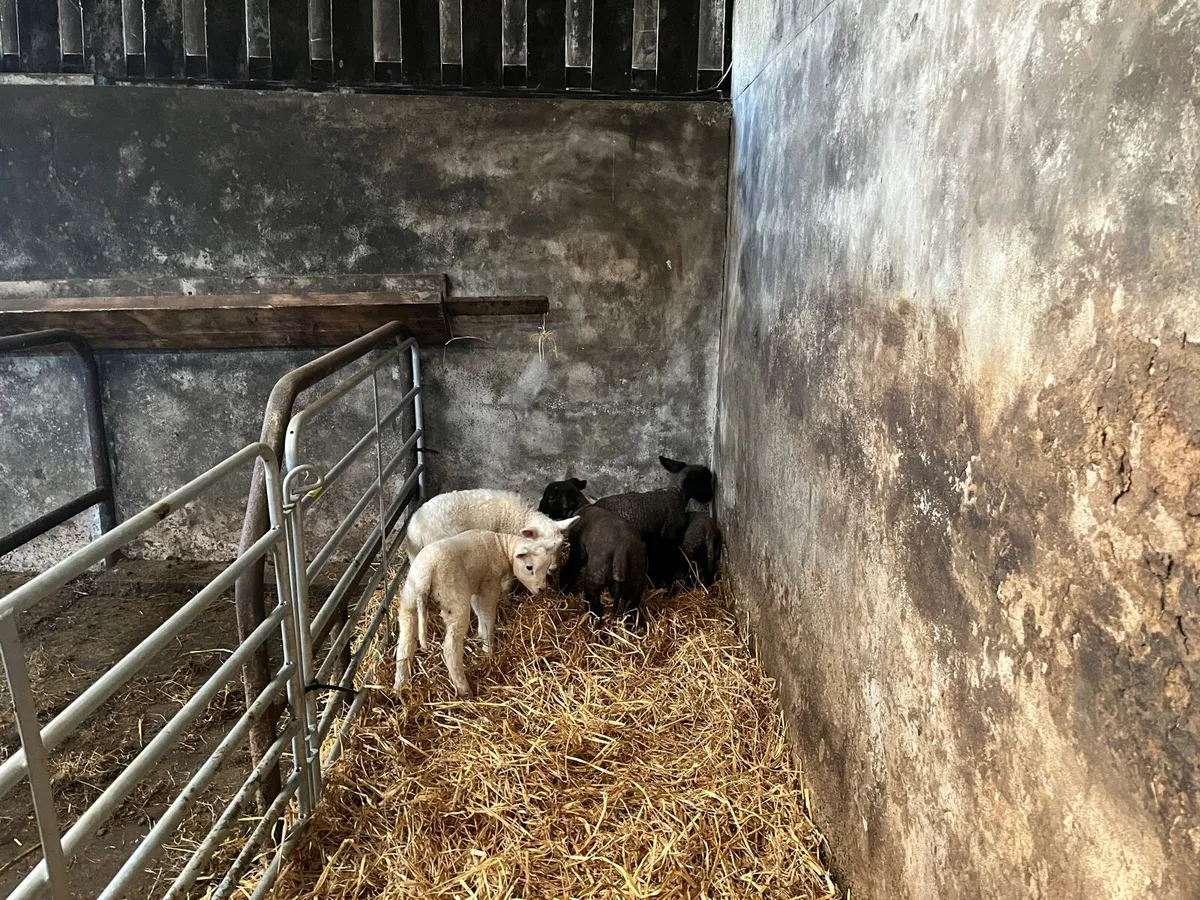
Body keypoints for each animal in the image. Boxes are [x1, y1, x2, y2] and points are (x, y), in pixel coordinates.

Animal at [393, 526, 574, 697]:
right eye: (529, 567)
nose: (542, 589)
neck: (501, 547)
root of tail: (426, 576)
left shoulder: (476, 587)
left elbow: (479, 611)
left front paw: (481, 635)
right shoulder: (489, 585)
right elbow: (487, 615)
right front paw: (488, 648)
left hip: (409, 601)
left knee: (405, 644)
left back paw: (399, 685)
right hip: (454, 601)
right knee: (450, 648)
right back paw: (464, 689)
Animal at [538, 479, 647, 625]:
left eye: (550, 498)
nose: (539, 508)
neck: (581, 508)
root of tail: (622, 551)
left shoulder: (578, 549)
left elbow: (569, 570)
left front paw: (564, 591)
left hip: (595, 576)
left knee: (594, 607)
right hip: (636, 582)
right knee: (631, 610)